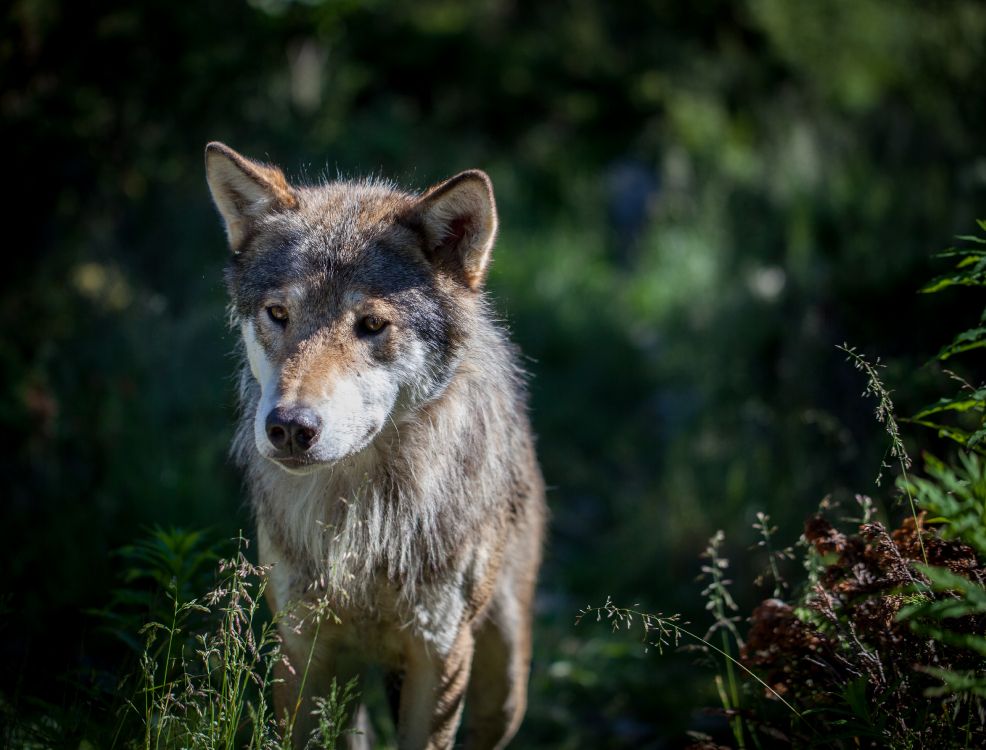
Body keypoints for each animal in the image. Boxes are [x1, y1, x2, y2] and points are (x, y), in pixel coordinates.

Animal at [205, 142, 545, 750]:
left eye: (370, 325)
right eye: (278, 314)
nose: (289, 426)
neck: (365, 517)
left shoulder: (440, 652)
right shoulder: (303, 648)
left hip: (503, 683)